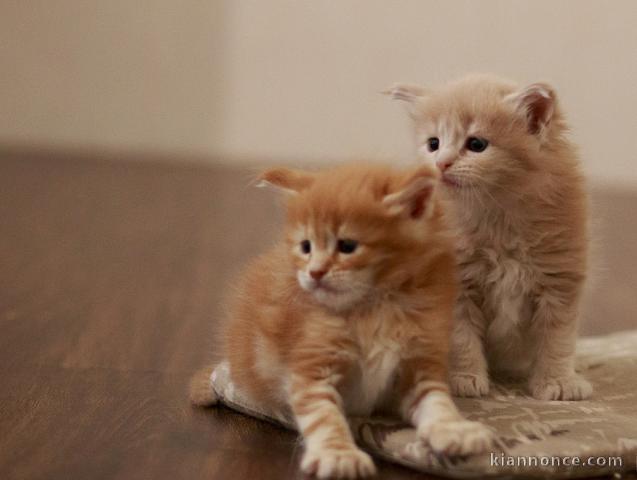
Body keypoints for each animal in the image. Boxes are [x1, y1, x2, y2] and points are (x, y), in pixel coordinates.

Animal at [189, 163, 492, 478]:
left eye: (347, 246)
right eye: (306, 246)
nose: (314, 272)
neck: (376, 307)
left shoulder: (419, 360)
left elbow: (437, 401)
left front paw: (455, 429)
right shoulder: (310, 365)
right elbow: (324, 415)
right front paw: (338, 453)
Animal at [388, 73, 592, 402]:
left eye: (476, 144)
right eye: (433, 144)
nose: (441, 163)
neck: (497, 217)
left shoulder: (560, 279)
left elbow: (557, 339)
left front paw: (558, 381)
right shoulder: (457, 285)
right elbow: (462, 338)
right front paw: (465, 378)